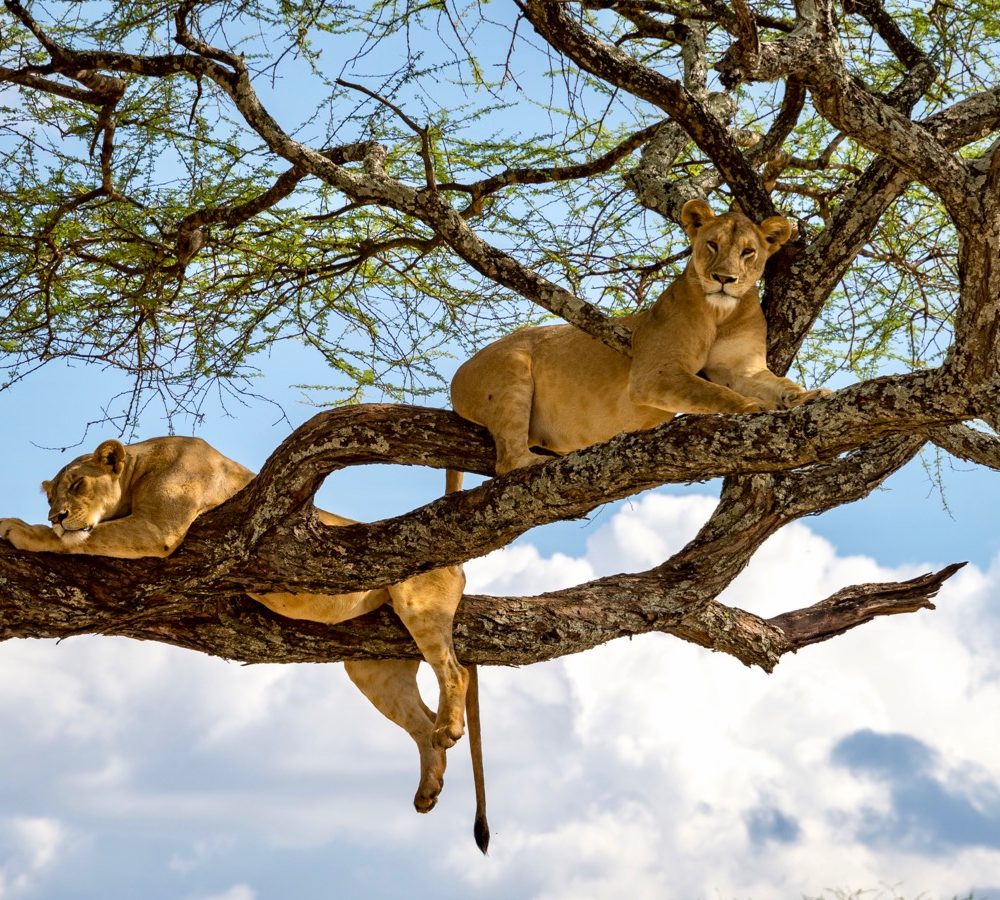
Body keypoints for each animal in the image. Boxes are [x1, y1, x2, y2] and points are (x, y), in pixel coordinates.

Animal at [0, 436, 489, 852]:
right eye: (50, 496)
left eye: (77, 484)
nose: (56, 516)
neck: (139, 470)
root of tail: (460, 564)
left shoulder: (157, 528)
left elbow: (85, 541)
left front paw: (23, 530)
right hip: (374, 668)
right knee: (421, 723)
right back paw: (428, 788)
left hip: (418, 605)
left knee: (453, 672)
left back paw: (450, 730)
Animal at [448, 199, 828, 484]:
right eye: (712, 244)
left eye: (748, 252)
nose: (724, 278)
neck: (720, 313)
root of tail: (458, 373)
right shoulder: (653, 374)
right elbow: (716, 393)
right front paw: (755, 408)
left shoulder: (742, 368)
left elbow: (780, 384)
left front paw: (810, 395)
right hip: (511, 372)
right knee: (507, 462)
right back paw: (538, 464)